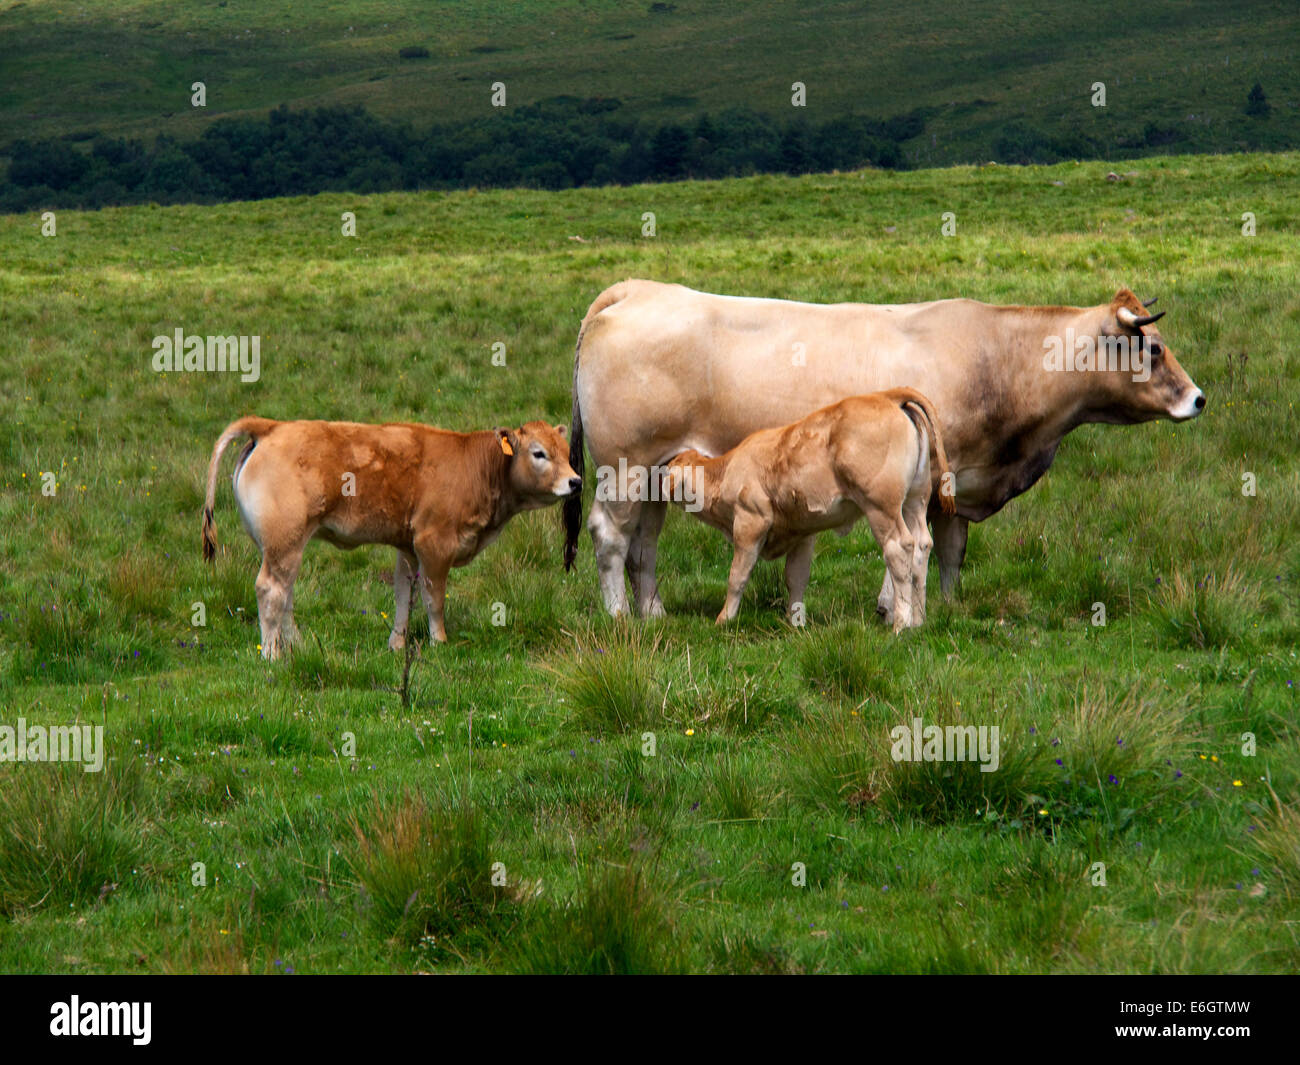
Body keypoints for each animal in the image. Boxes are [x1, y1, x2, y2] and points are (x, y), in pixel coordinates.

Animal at [201, 417, 580, 658]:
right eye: (539, 453)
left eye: (567, 451)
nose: (575, 481)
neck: (475, 467)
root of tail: (272, 426)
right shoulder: (433, 543)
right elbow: (433, 598)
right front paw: (439, 642)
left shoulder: (408, 548)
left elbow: (402, 595)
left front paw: (396, 645)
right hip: (285, 540)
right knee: (271, 590)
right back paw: (272, 654)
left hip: (284, 545)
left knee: (286, 592)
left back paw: (297, 644)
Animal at [661, 388, 955, 631]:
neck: (727, 470)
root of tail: (888, 396)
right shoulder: (802, 532)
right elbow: (796, 577)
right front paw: (796, 623)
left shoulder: (749, 522)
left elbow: (737, 576)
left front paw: (724, 619)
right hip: (915, 500)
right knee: (921, 546)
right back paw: (918, 620)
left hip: (882, 506)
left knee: (900, 549)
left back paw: (901, 624)